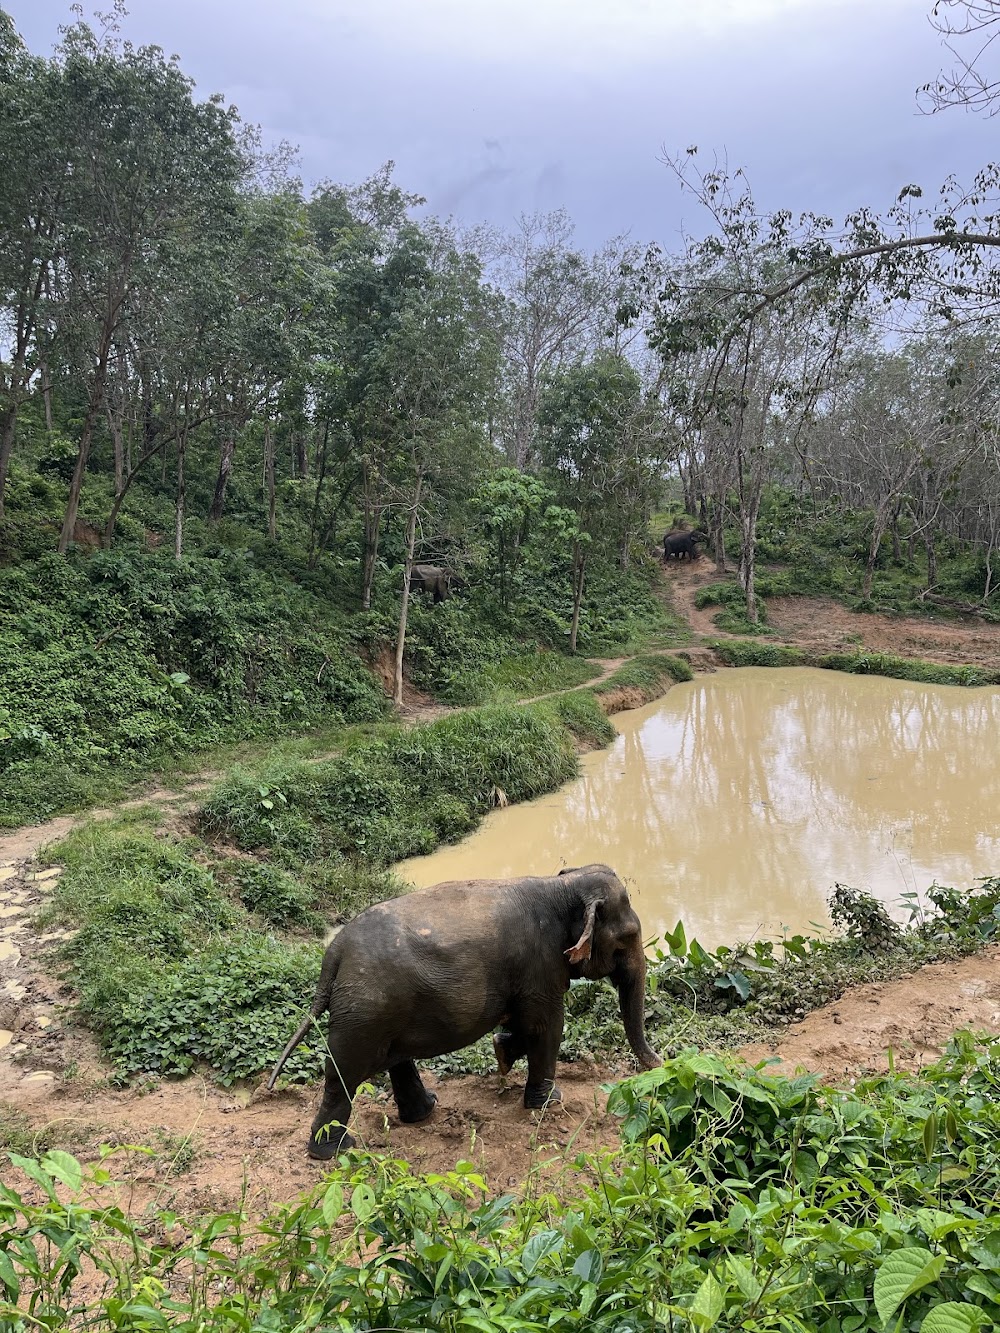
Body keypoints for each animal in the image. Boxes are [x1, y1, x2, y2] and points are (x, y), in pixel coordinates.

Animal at [266, 863, 661, 1157]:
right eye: (627, 938)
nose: (661, 1063)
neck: (560, 885)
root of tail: (334, 953)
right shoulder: (540, 965)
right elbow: (546, 1026)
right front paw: (549, 1104)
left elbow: (526, 1025)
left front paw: (503, 1053)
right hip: (365, 1011)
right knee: (343, 1073)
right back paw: (333, 1151)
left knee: (393, 1060)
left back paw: (424, 1112)